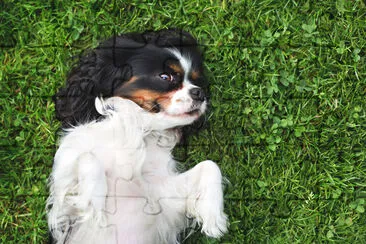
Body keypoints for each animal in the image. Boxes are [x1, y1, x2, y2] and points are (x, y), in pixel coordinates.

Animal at [47, 29, 227, 243]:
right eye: (165, 77)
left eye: (196, 81)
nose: (199, 93)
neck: (139, 127)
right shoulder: (65, 195)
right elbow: (87, 157)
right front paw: (94, 200)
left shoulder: (161, 195)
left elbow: (210, 165)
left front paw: (214, 217)